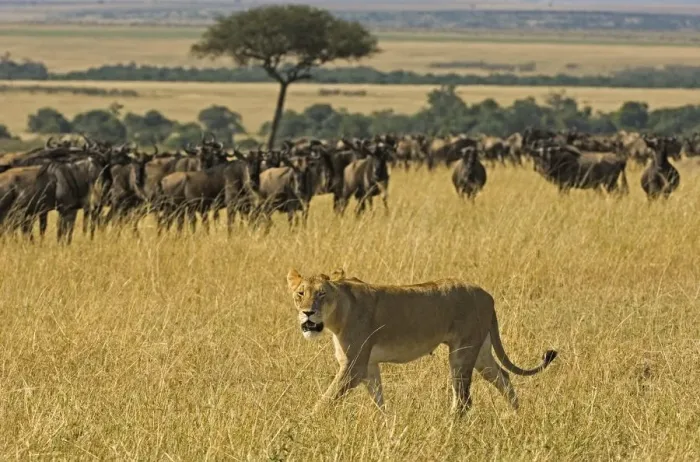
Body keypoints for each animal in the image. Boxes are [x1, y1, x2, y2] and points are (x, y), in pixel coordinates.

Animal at [286, 268, 557, 414]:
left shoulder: (354, 367)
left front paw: (308, 422)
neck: (338, 312)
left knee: (464, 400)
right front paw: (388, 427)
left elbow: (325, 400)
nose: (308, 312)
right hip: (480, 351)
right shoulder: (369, 366)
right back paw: (516, 415)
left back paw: (450, 429)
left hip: (462, 352)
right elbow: (379, 401)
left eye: (322, 294)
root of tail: (487, 295)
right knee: (504, 377)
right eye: (300, 293)